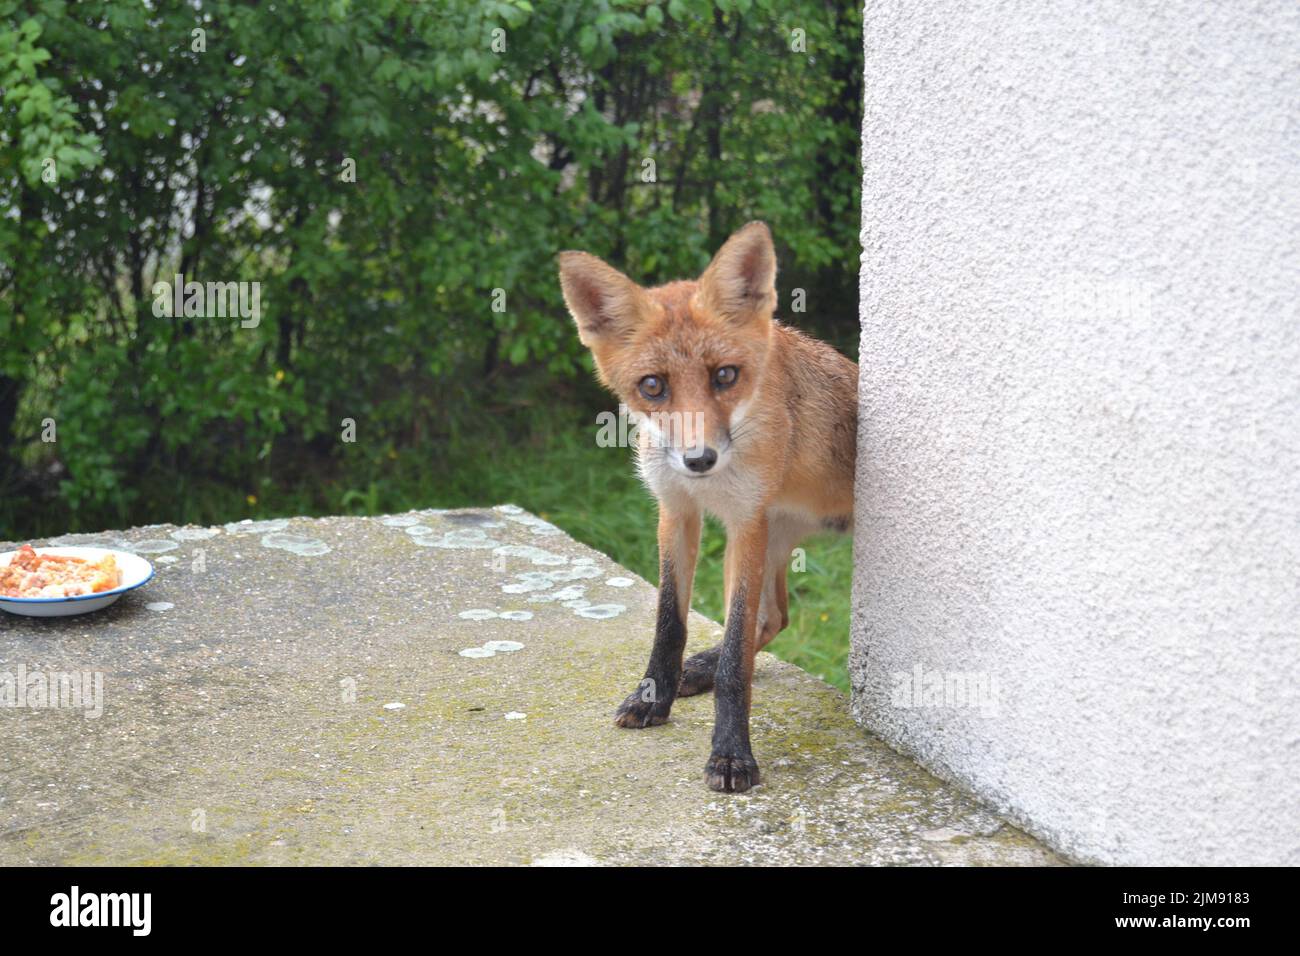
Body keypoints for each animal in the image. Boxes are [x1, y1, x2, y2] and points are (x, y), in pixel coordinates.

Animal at [556, 222, 852, 790]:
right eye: (653, 386)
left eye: (725, 376)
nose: (699, 459)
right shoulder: (676, 510)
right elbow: (670, 622)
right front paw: (656, 696)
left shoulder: (745, 522)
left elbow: (737, 657)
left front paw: (732, 753)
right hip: (779, 532)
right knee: (774, 618)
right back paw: (697, 671)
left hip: (776, 533)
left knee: (762, 624)